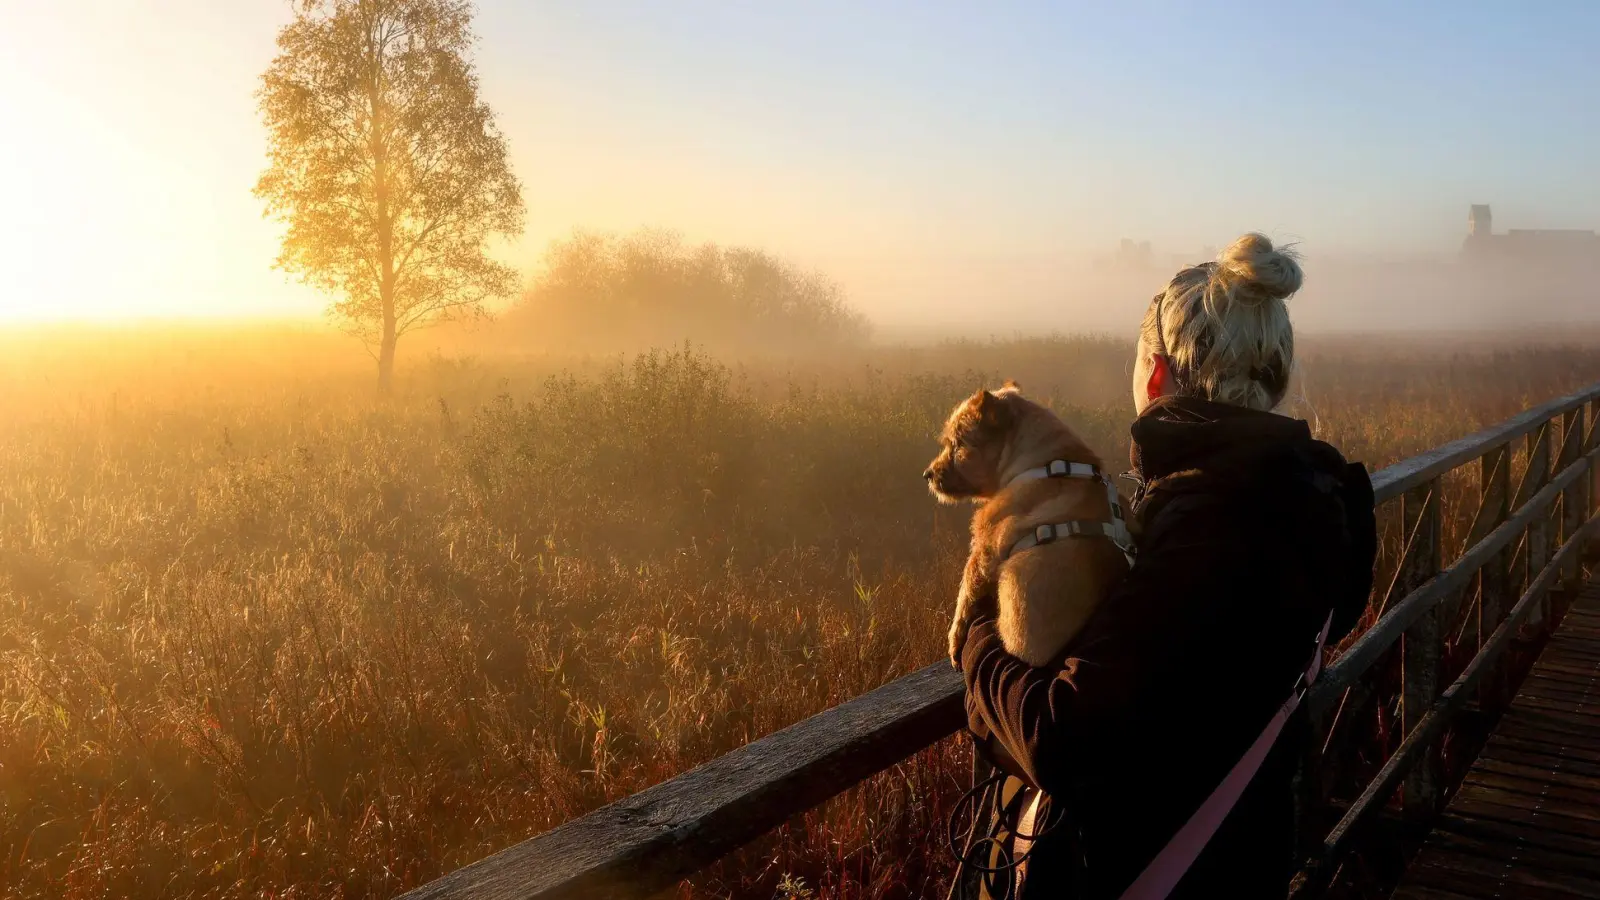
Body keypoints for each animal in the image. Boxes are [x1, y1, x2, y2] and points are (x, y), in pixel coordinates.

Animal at [921, 379, 1132, 666]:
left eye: (957, 444)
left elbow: (964, 595)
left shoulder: (984, 550)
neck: (1041, 462)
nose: (927, 474)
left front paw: (954, 643)